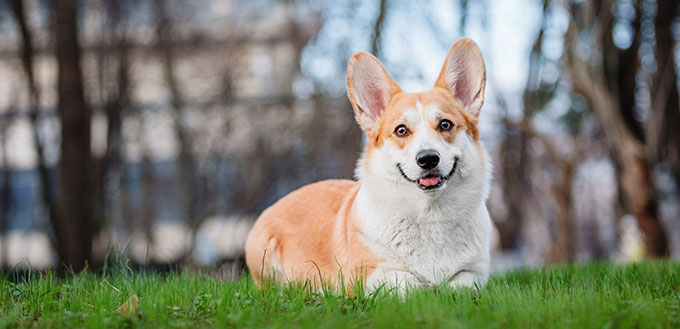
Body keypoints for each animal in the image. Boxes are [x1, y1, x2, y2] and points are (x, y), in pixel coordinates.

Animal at [247, 38, 492, 292]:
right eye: (401, 130)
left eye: (445, 124)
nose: (427, 159)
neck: (430, 214)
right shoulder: (365, 276)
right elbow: (410, 283)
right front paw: (428, 287)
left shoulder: (476, 273)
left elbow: (459, 286)